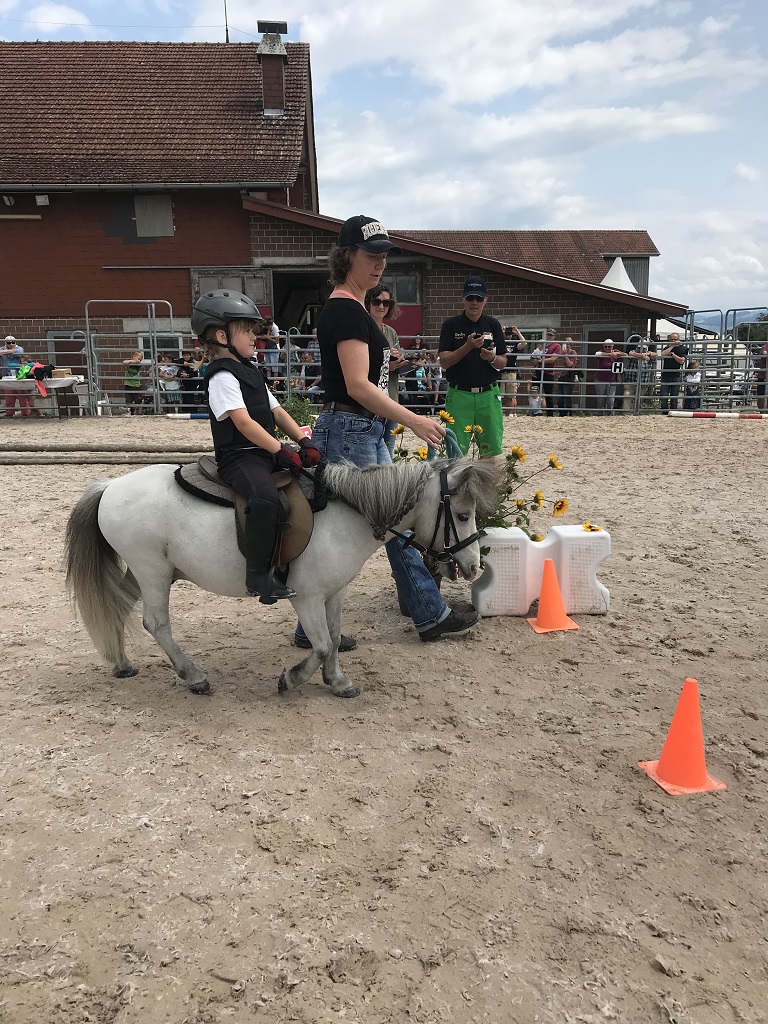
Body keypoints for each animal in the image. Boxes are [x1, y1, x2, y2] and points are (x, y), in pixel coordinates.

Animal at [64, 457, 504, 699]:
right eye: (463, 514)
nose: (472, 566)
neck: (346, 514)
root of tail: (110, 486)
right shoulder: (305, 597)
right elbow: (322, 645)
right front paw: (292, 679)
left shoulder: (333, 593)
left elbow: (333, 637)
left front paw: (337, 682)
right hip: (152, 572)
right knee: (156, 623)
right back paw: (193, 677)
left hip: (150, 574)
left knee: (119, 605)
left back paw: (121, 662)